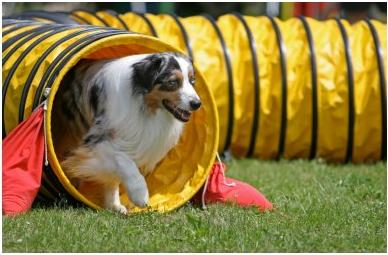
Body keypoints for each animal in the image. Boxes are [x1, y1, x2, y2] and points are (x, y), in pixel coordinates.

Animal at [56, 52, 202, 214]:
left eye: (192, 80)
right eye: (173, 82)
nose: (197, 104)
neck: (143, 106)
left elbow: (112, 177)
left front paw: (114, 205)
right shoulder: (96, 140)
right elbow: (124, 159)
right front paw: (140, 194)